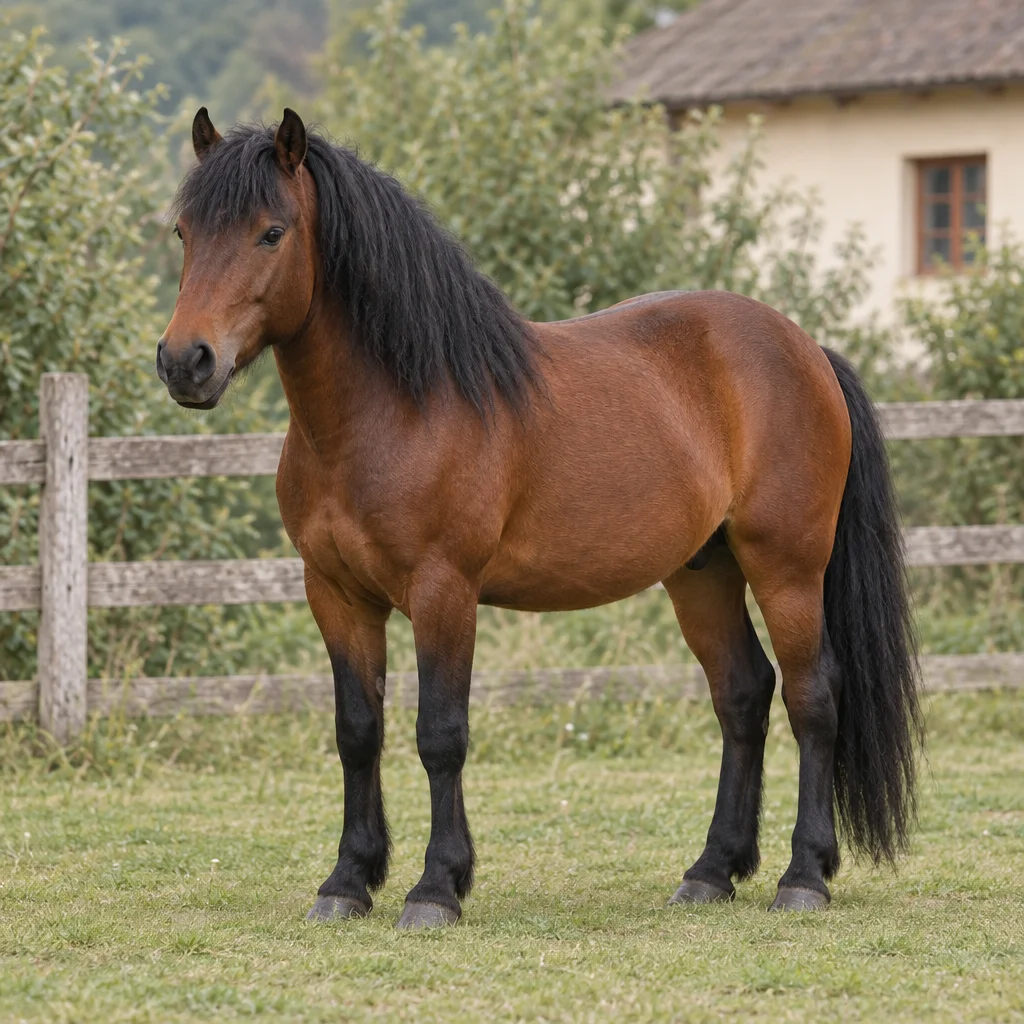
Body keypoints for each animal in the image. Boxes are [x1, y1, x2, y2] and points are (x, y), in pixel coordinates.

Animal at [158, 107, 922, 929]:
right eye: (183, 232)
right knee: (743, 695)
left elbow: (440, 734)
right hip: (702, 573)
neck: (394, 409)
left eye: (272, 232)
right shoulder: (335, 595)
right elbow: (358, 732)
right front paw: (347, 882)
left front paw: (437, 887)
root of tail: (805, 348)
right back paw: (711, 871)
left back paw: (803, 876)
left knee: (813, 699)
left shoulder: (444, 592)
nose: (185, 362)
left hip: (787, 568)